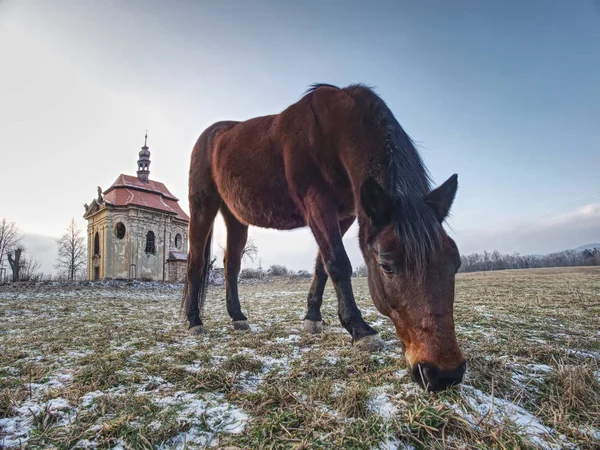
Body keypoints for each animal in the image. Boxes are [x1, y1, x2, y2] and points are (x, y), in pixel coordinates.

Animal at [185, 83, 466, 390]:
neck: (332, 131)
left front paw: (312, 319)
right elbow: (338, 264)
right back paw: (194, 321)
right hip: (203, 206)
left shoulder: (346, 215)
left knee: (232, 265)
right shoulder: (318, 205)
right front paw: (360, 330)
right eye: (386, 265)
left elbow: (322, 265)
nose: (444, 373)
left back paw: (237, 317)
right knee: (196, 262)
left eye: (456, 263)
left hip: (235, 216)